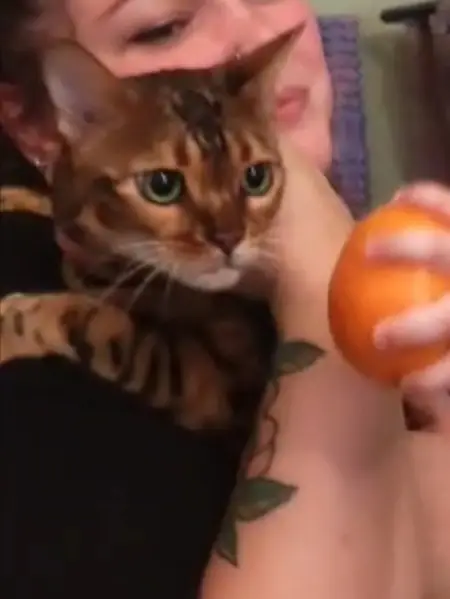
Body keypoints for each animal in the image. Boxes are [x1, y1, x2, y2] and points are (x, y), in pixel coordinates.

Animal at [0, 29, 297, 430]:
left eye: (256, 178)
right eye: (162, 185)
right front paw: (15, 197)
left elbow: (100, 325)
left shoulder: (219, 382)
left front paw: (14, 322)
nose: (229, 239)